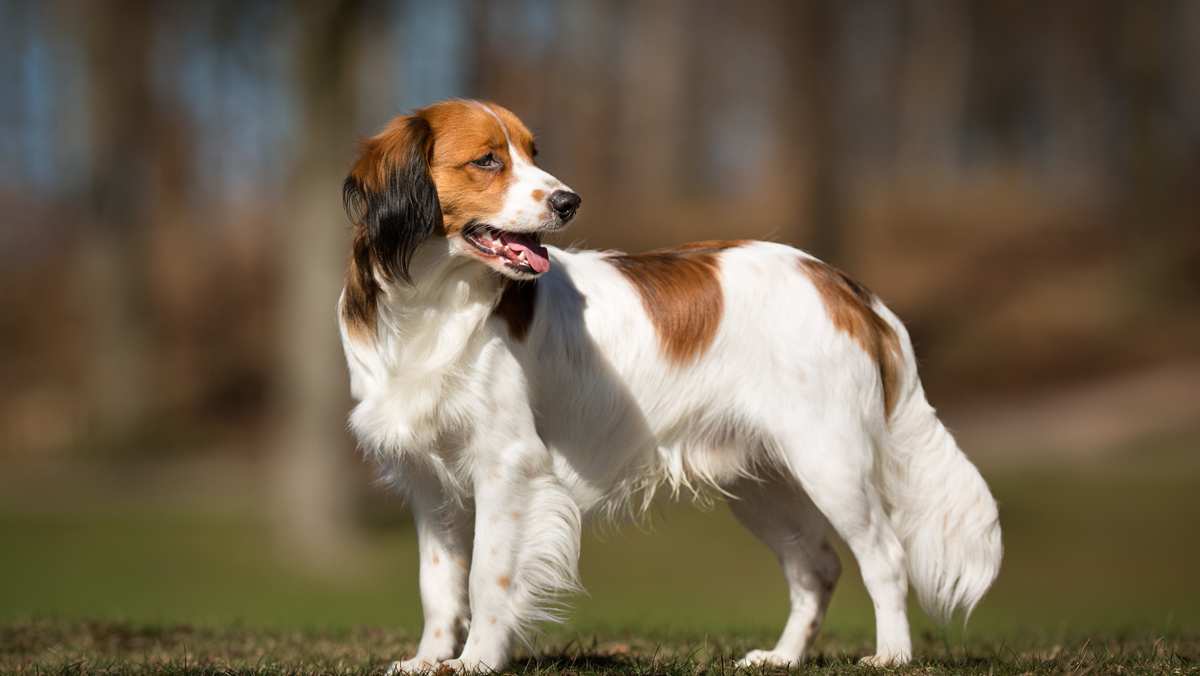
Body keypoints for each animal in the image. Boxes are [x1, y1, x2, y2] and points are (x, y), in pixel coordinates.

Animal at [338, 99, 1003, 672]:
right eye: (487, 160)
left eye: (531, 151)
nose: (569, 201)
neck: (436, 302)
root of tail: (842, 284)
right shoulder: (429, 481)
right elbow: (437, 583)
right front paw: (429, 660)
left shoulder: (507, 465)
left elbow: (487, 576)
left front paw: (476, 661)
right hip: (763, 483)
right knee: (816, 566)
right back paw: (782, 657)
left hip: (830, 462)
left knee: (884, 556)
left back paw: (891, 655)